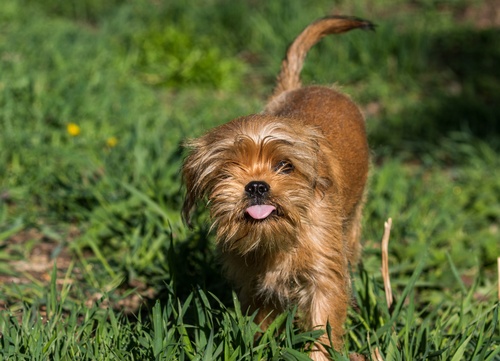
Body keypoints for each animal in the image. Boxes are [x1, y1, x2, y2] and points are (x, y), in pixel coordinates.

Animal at [182, 15, 374, 358]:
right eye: (226, 172)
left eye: (285, 166)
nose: (256, 186)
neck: (278, 241)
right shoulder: (255, 289)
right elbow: (258, 330)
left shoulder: (324, 281)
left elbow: (322, 334)